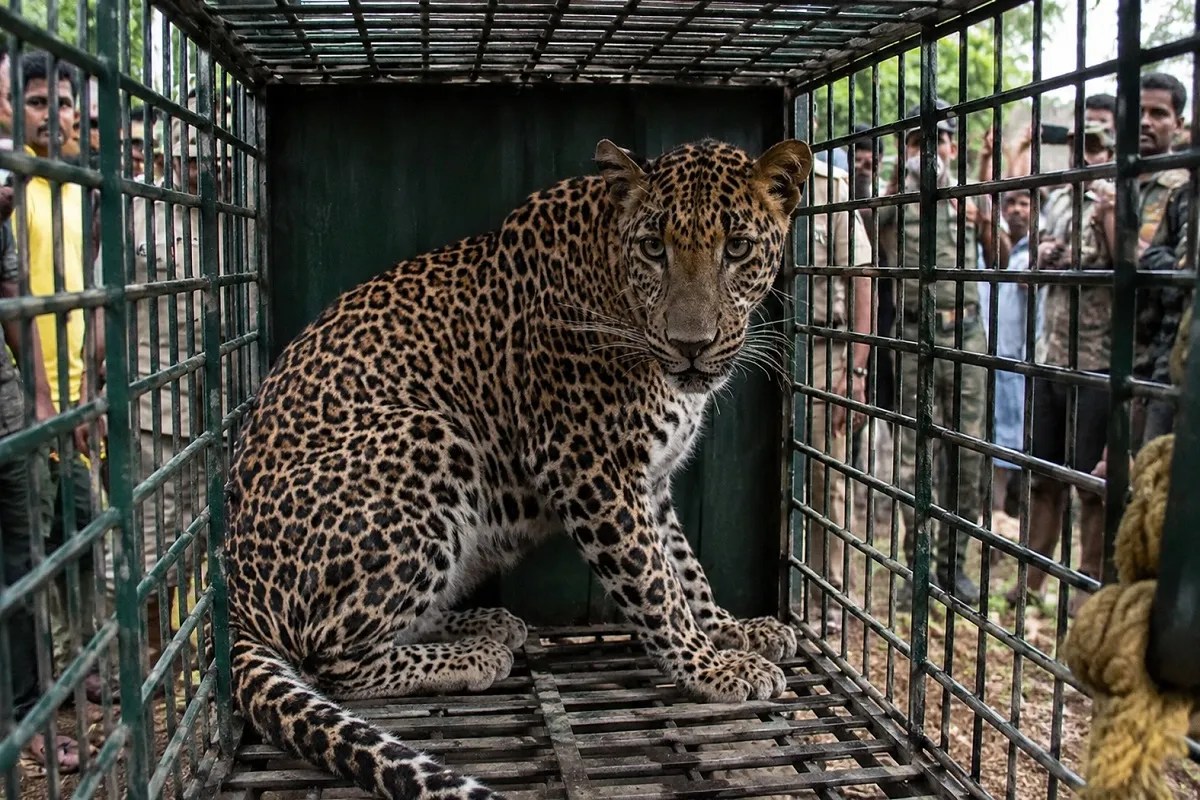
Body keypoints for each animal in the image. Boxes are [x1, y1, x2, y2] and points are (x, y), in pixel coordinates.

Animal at [224, 136, 814, 800]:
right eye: (653, 248)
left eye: (736, 249)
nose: (691, 345)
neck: (613, 276)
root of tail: (237, 602)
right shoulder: (589, 467)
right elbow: (655, 582)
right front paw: (711, 666)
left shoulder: (651, 481)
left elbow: (686, 568)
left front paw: (734, 630)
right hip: (429, 434)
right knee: (333, 661)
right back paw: (474, 658)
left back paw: (488, 624)